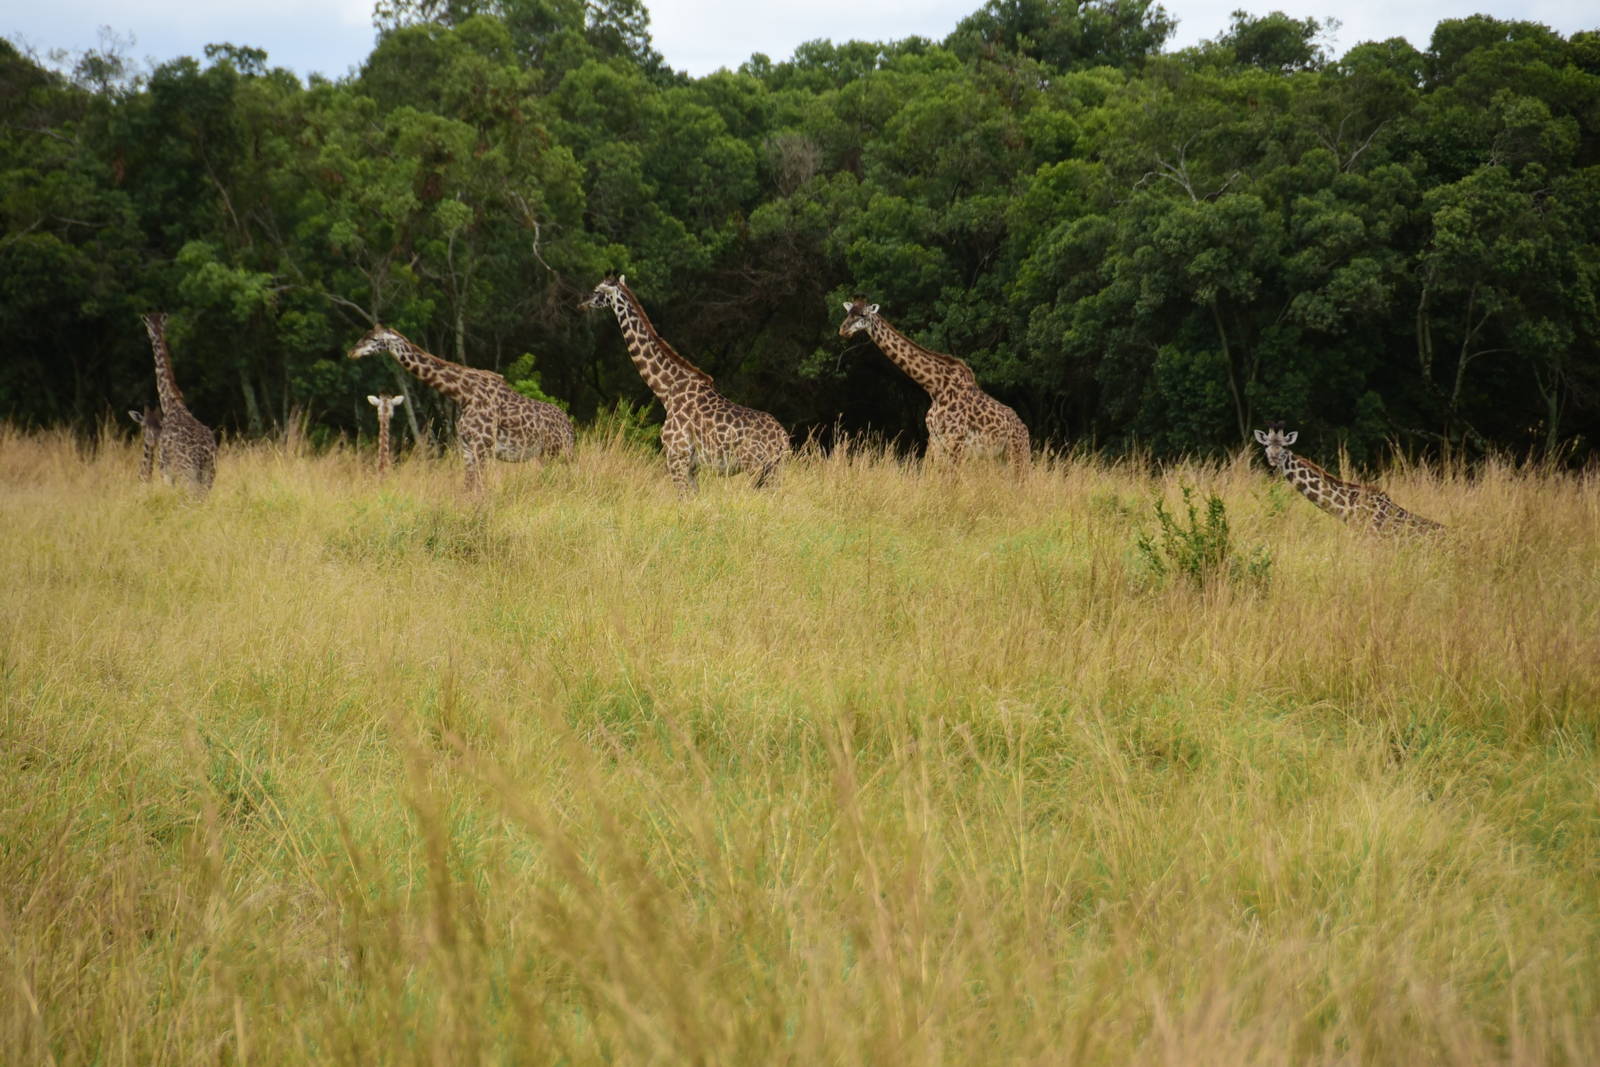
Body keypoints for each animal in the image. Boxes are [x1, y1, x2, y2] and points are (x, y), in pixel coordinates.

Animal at [139, 313, 217, 493]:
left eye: (146, 324)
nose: (151, 334)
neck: (171, 402)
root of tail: (202, 455)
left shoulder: (165, 471)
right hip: (208, 475)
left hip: (187, 475)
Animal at [347, 325, 574, 491]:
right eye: (363, 335)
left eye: (374, 340)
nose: (352, 352)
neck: (462, 392)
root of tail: (570, 427)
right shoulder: (467, 449)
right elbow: (468, 489)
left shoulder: (482, 447)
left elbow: (480, 490)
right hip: (546, 454)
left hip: (557, 451)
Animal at [579, 274, 791, 493]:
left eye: (597, 291)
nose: (582, 302)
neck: (666, 390)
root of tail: (784, 441)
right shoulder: (691, 465)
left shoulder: (676, 456)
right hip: (774, 470)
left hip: (756, 467)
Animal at [837, 297, 1029, 468]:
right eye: (848, 313)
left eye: (863, 315)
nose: (843, 330)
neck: (935, 387)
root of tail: (1025, 431)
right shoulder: (936, 440)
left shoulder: (956, 441)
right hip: (1000, 458)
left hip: (1017, 454)